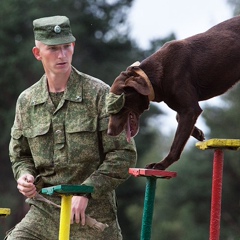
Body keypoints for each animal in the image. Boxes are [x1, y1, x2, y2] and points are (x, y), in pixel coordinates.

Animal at [107, 15, 240, 170]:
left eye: (119, 106)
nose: (109, 133)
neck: (154, 78)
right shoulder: (186, 109)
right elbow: (178, 118)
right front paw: (199, 133)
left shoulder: (190, 109)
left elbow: (176, 145)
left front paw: (160, 165)